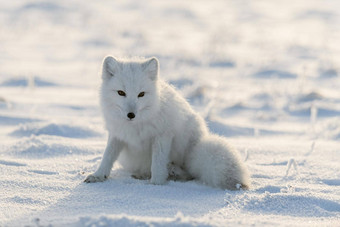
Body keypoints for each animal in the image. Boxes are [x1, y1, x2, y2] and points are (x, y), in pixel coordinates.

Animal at [85, 56, 250, 190]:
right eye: (121, 92)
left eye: (141, 94)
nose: (131, 115)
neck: (136, 126)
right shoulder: (117, 134)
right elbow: (107, 156)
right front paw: (98, 175)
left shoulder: (163, 135)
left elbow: (158, 163)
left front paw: (156, 185)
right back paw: (144, 175)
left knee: (188, 173)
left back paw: (172, 172)